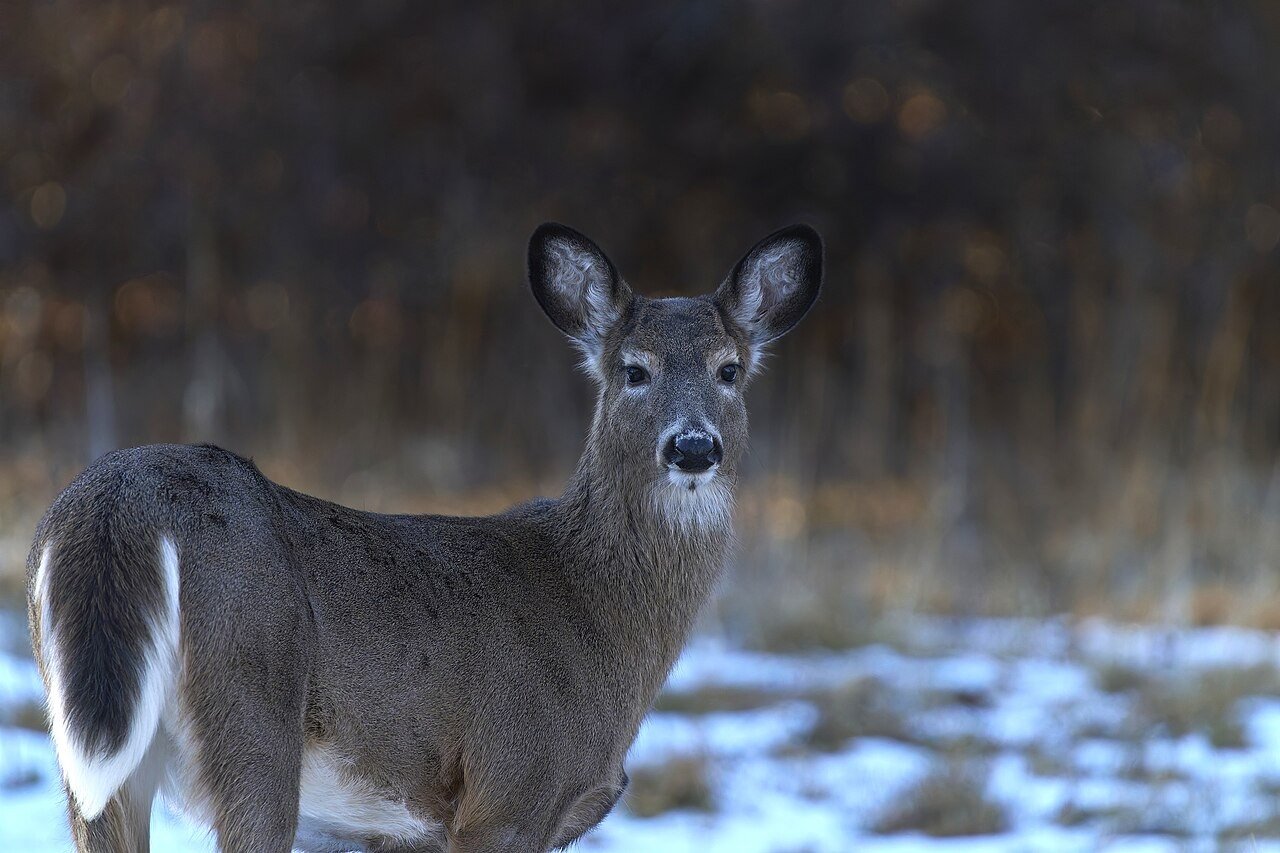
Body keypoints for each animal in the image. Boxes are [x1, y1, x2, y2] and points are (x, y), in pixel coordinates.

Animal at [26, 222, 823, 853]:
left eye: (730, 370)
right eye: (634, 370)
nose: (693, 446)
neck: (593, 610)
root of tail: (122, 500)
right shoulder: (509, 787)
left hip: (86, 751)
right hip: (250, 704)